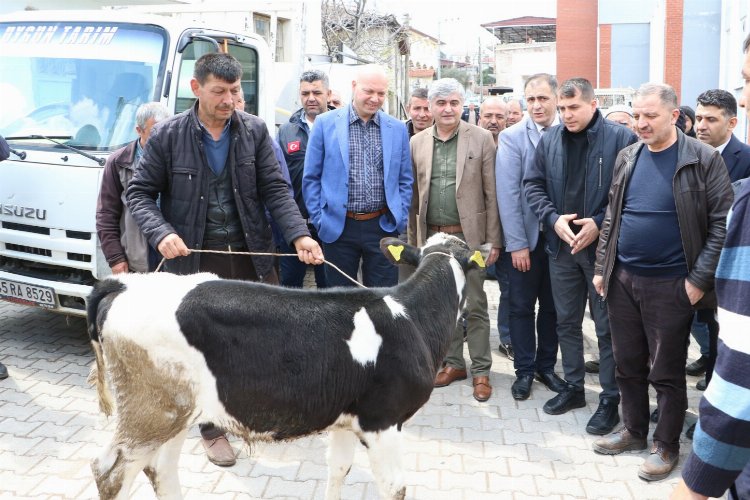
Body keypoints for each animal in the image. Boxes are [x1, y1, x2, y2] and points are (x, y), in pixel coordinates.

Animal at [88, 232, 490, 498]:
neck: (411, 317)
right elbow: (394, 487)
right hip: (150, 411)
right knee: (110, 471)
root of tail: (125, 284)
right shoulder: (383, 420)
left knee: (160, 468)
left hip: (175, 410)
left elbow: (338, 470)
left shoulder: (348, 418)